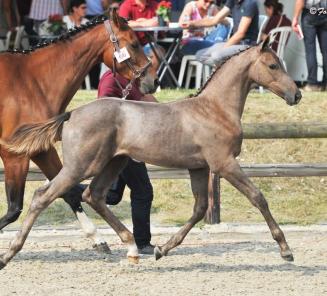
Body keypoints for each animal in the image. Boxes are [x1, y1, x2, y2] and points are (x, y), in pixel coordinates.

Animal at [0, 8, 158, 250]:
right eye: (133, 44)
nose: (154, 81)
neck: (31, 82)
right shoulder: (13, 155)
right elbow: (13, 208)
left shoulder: (41, 149)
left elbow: (68, 192)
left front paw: (98, 239)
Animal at [0, 37, 302, 268]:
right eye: (273, 65)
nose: (296, 95)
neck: (214, 109)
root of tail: (71, 113)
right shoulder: (224, 163)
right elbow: (257, 197)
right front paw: (286, 250)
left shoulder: (199, 167)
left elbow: (199, 209)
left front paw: (162, 249)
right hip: (82, 165)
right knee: (44, 196)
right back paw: (9, 254)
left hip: (114, 162)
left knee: (92, 195)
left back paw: (133, 248)